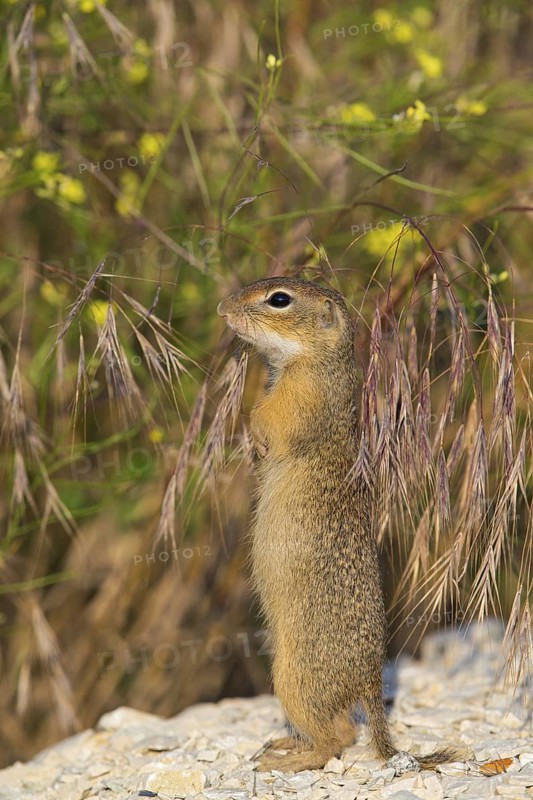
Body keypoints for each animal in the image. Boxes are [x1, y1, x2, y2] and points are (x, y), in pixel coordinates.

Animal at [217, 277, 456, 774]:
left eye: (279, 299)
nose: (222, 310)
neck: (314, 361)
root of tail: (369, 680)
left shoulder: (297, 399)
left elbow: (266, 418)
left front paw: (256, 437)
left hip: (293, 678)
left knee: (339, 736)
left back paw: (290, 759)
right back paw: (287, 744)